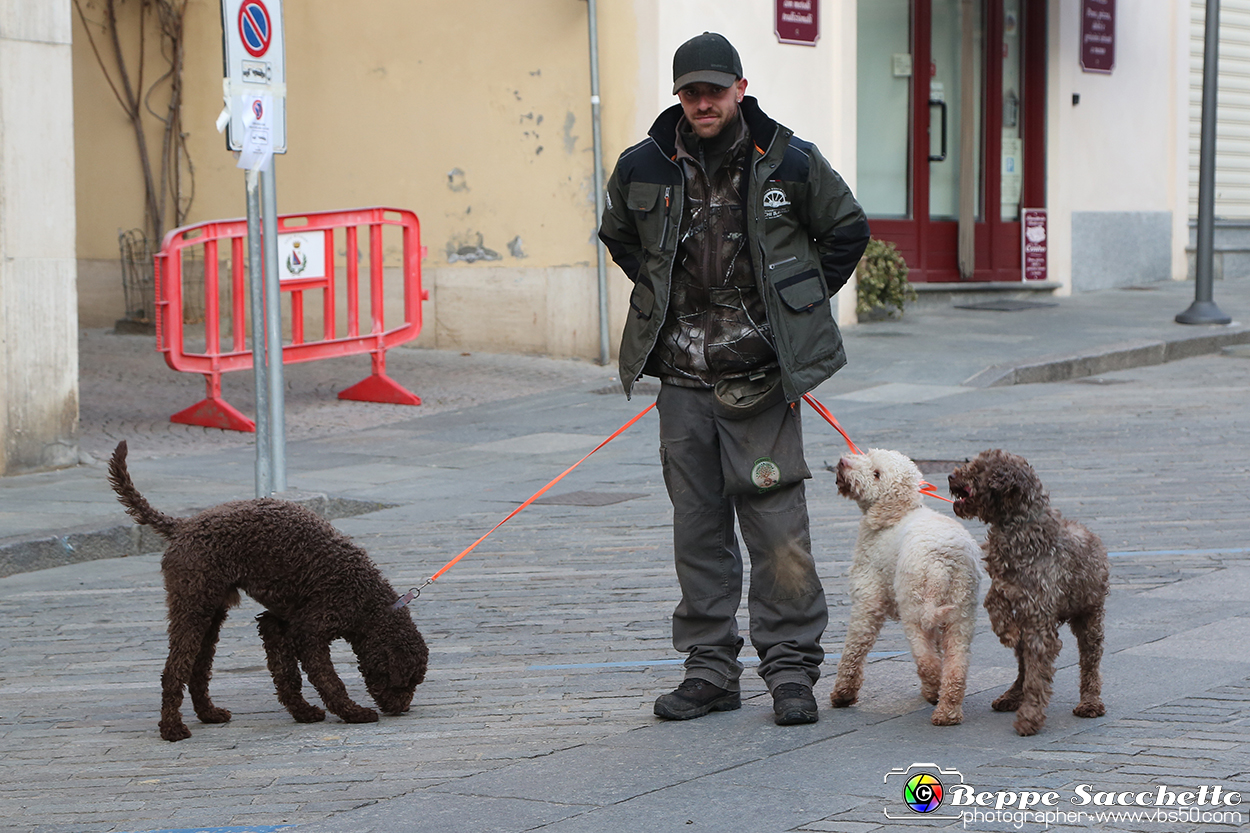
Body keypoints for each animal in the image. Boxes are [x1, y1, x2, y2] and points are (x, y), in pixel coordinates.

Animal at [108, 440, 430, 740]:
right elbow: (328, 679)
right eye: (404, 682)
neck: (367, 601)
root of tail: (183, 525)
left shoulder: (277, 624)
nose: (402, 709)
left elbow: (286, 674)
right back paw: (172, 729)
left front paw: (302, 711)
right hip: (193, 607)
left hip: (212, 612)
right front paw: (353, 712)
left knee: (199, 667)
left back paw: (209, 713)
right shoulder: (309, 632)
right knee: (174, 669)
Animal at [835, 445, 980, 725]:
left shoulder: (868, 599)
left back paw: (934, 690)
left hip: (914, 606)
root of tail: (941, 561)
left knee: (927, 660)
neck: (897, 514)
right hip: (960, 611)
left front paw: (843, 693)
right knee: (955, 664)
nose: (843, 462)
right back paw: (947, 711)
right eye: (867, 455)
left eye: (877, 474)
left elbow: (854, 648)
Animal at [950, 447, 1110, 735]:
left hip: (1089, 616)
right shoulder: (1005, 588)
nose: (950, 476)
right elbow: (993, 603)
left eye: (978, 470)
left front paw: (1030, 717)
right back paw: (1012, 695)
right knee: (1023, 663)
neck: (1018, 526)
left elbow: (1038, 676)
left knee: (1090, 661)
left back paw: (1090, 702)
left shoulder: (1039, 620)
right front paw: (1007, 631)